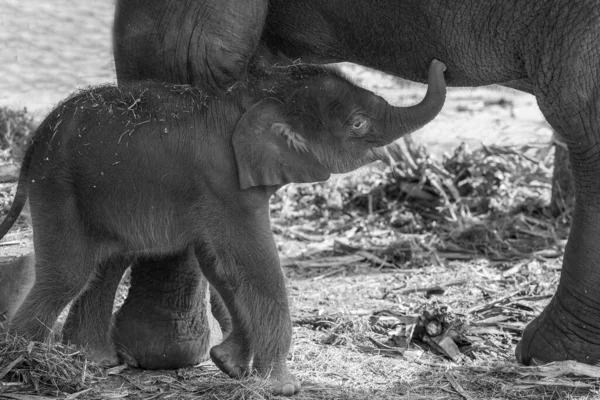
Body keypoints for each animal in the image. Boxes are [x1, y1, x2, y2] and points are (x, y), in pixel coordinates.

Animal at [2, 61, 446, 396]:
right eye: (357, 124)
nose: (439, 64)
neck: (251, 94)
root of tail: (34, 141)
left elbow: (221, 266)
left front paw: (229, 365)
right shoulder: (225, 184)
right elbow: (255, 266)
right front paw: (282, 387)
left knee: (108, 263)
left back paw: (93, 361)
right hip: (58, 189)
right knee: (69, 274)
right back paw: (28, 363)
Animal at [112, 0, 600, 368]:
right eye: (357, 122)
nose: (438, 64)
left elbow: (177, 50)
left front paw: (158, 351)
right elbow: (189, 53)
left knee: (579, 109)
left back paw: (549, 355)